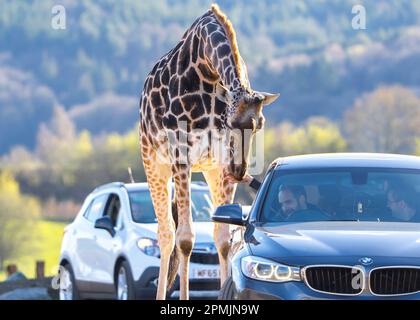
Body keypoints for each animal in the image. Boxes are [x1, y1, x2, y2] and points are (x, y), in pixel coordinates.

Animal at [139, 4, 280, 300]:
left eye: (260, 124)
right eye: (230, 122)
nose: (240, 171)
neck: (207, 68)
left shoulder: (221, 163)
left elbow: (224, 238)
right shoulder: (181, 154)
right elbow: (185, 239)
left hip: (210, 170)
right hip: (153, 162)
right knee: (166, 234)